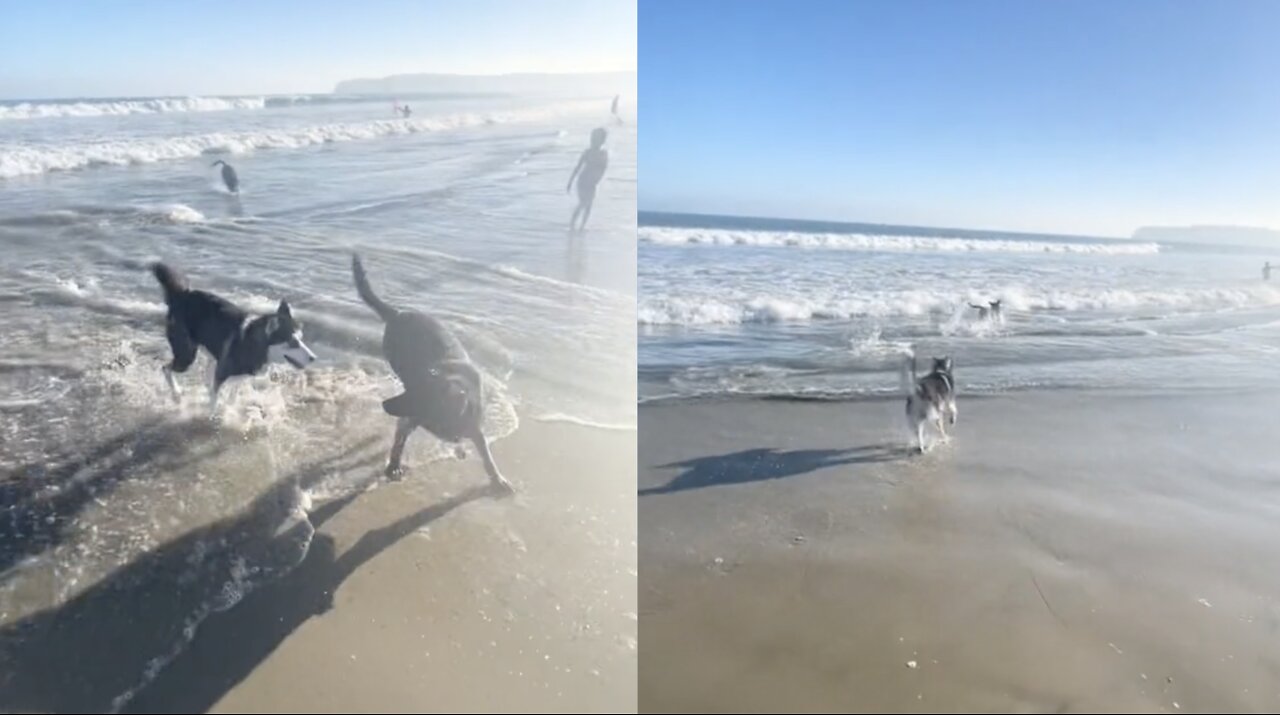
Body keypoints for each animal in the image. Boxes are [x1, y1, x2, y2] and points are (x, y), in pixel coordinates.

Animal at [150, 263, 317, 416]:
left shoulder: (238, 376)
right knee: (166, 368)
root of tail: (181, 295)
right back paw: (176, 394)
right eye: (292, 342)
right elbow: (214, 400)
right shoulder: (221, 375)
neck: (254, 345)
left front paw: (229, 408)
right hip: (187, 356)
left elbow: (232, 395)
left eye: (301, 338)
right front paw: (212, 417)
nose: (313, 358)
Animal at [353, 254, 512, 496]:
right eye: (411, 391)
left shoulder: (474, 428)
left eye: (415, 396)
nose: (384, 404)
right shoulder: (409, 420)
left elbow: (487, 456)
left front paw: (496, 479)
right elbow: (398, 443)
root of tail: (399, 313)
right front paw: (393, 467)